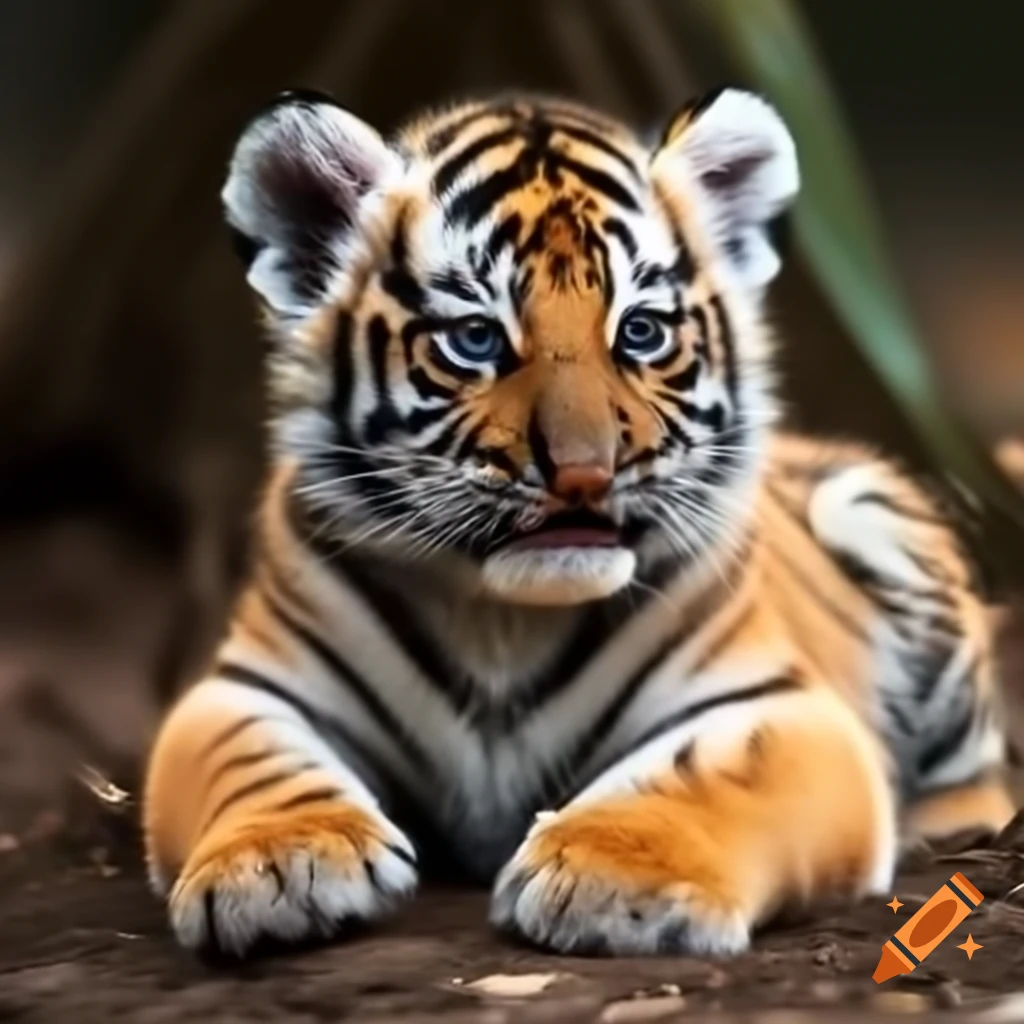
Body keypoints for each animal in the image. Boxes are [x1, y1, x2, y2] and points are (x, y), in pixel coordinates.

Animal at [143, 87, 1015, 958]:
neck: (501, 619)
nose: (584, 473)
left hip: (869, 514)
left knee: (981, 775)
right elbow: (252, 761)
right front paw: (280, 864)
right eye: (475, 338)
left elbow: (701, 772)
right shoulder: (241, 690)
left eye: (640, 331)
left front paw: (613, 878)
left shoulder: (780, 704)